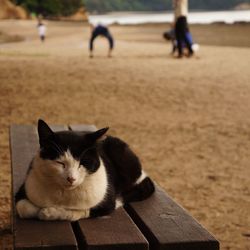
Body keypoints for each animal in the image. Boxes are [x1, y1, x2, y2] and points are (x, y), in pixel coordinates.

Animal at [15, 119, 154, 221]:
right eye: (60, 163)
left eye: (83, 163)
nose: (71, 178)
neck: (64, 194)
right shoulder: (24, 188)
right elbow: (23, 208)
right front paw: (43, 210)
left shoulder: (107, 203)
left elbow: (79, 212)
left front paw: (50, 212)